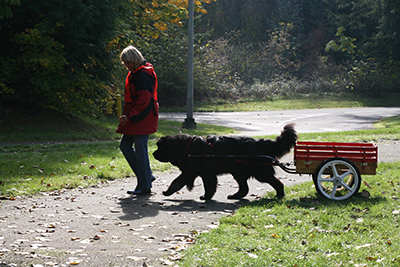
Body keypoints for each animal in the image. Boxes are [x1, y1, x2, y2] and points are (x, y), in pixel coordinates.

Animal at [153, 123, 296, 201]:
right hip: (239, 172)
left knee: (277, 182)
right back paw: (235, 196)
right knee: (244, 188)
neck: (186, 147)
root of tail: (262, 142)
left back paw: (280, 194)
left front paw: (206, 197)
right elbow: (176, 182)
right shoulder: (190, 172)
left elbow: (209, 185)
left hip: (260, 172)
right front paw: (168, 192)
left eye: (160, 147)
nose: (153, 154)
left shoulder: (207, 173)